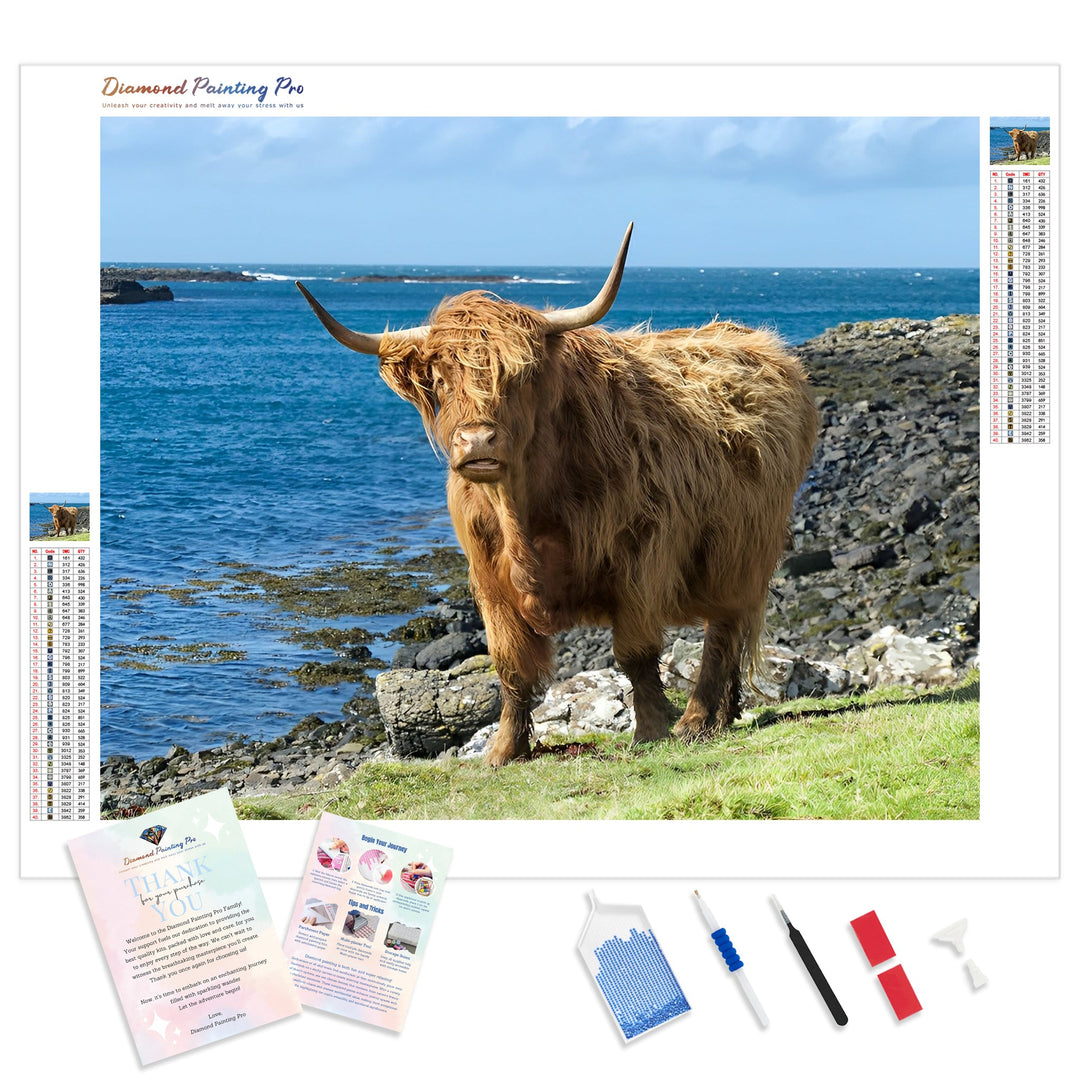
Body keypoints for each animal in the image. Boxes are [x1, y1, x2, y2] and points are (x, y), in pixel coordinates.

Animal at [297, 224, 818, 766]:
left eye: (520, 375)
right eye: (440, 378)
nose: (478, 442)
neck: (524, 510)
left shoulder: (641, 556)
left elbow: (635, 654)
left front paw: (651, 731)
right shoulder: (488, 579)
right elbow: (509, 665)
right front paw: (505, 750)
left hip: (743, 551)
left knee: (721, 631)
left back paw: (696, 720)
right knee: (730, 633)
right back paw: (724, 716)